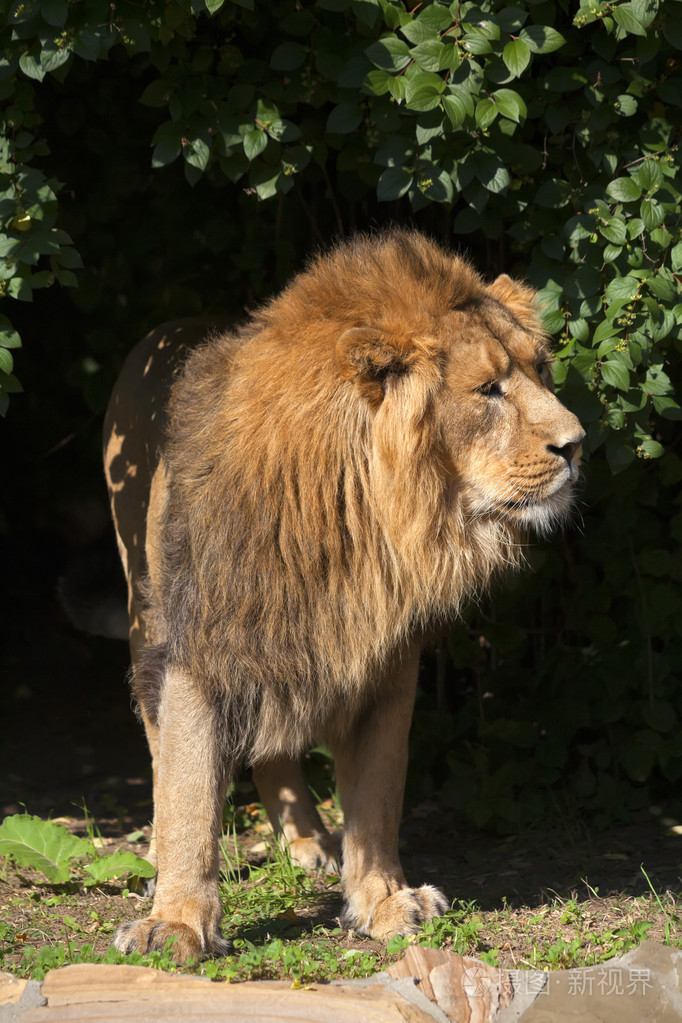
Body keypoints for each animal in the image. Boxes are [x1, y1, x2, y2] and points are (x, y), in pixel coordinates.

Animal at [104, 230, 584, 957]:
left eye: (542, 371)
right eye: (488, 389)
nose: (578, 445)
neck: (352, 522)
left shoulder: (387, 662)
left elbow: (378, 793)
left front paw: (383, 901)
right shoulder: (202, 641)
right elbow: (188, 787)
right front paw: (179, 920)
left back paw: (308, 844)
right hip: (145, 602)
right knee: (163, 744)